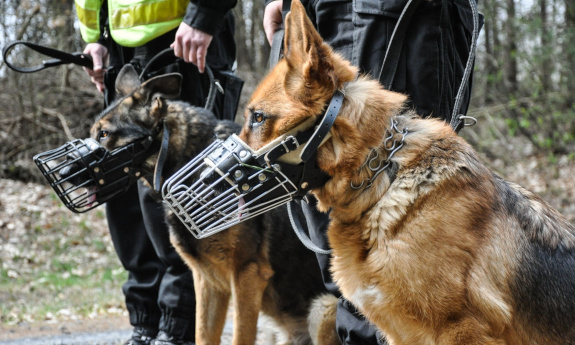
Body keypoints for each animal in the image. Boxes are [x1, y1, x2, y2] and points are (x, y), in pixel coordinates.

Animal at [84, 64, 340, 344]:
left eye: (104, 134)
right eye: (93, 134)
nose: (58, 170)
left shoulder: (247, 276)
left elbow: (239, 336)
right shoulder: (207, 281)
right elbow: (203, 334)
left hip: (322, 309)